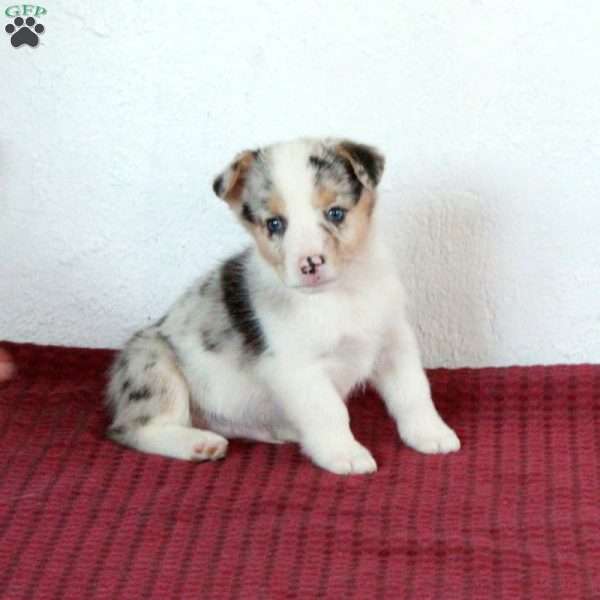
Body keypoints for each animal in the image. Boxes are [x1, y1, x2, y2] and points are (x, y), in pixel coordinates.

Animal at [106, 137, 460, 474]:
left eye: (335, 213)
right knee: (137, 429)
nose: (310, 264)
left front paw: (431, 434)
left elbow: (414, 393)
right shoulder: (298, 368)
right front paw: (344, 454)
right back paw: (198, 443)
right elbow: (330, 412)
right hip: (154, 365)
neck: (340, 295)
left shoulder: (394, 342)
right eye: (275, 224)